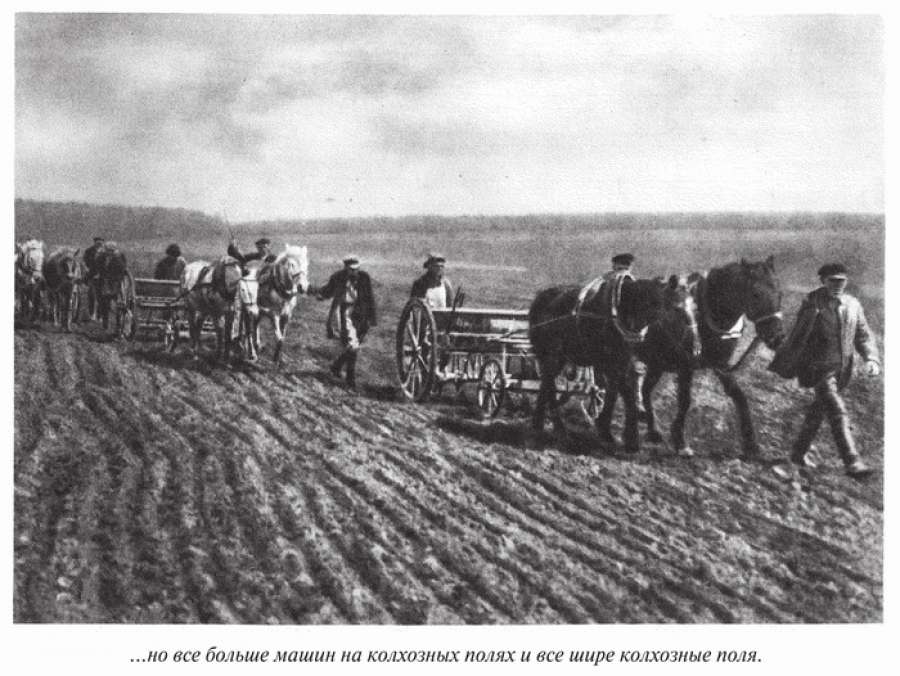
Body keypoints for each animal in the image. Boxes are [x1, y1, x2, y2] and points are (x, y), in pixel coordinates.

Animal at [528, 272, 676, 452]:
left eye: (663, 303)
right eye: (648, 302)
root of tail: (540, 299)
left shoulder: (620, 361)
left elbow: (616, 391)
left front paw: (609, 431)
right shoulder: (610, 362)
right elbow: (625, 392)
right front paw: (630, 438)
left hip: (556, 357)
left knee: (546, 384)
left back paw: (540, 423)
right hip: (552, 356)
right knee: (549, 384)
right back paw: (557, 426)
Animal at [632, 256, 788, 456]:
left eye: (780, 293)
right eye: (755, 294)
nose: (777, 337)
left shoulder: (721, 365)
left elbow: (739, 396)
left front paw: (751, 443)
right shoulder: (685, 365)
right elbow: (685, 401)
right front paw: (680, 441)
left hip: (657, 363)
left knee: (645, 389)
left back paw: (653, 430)